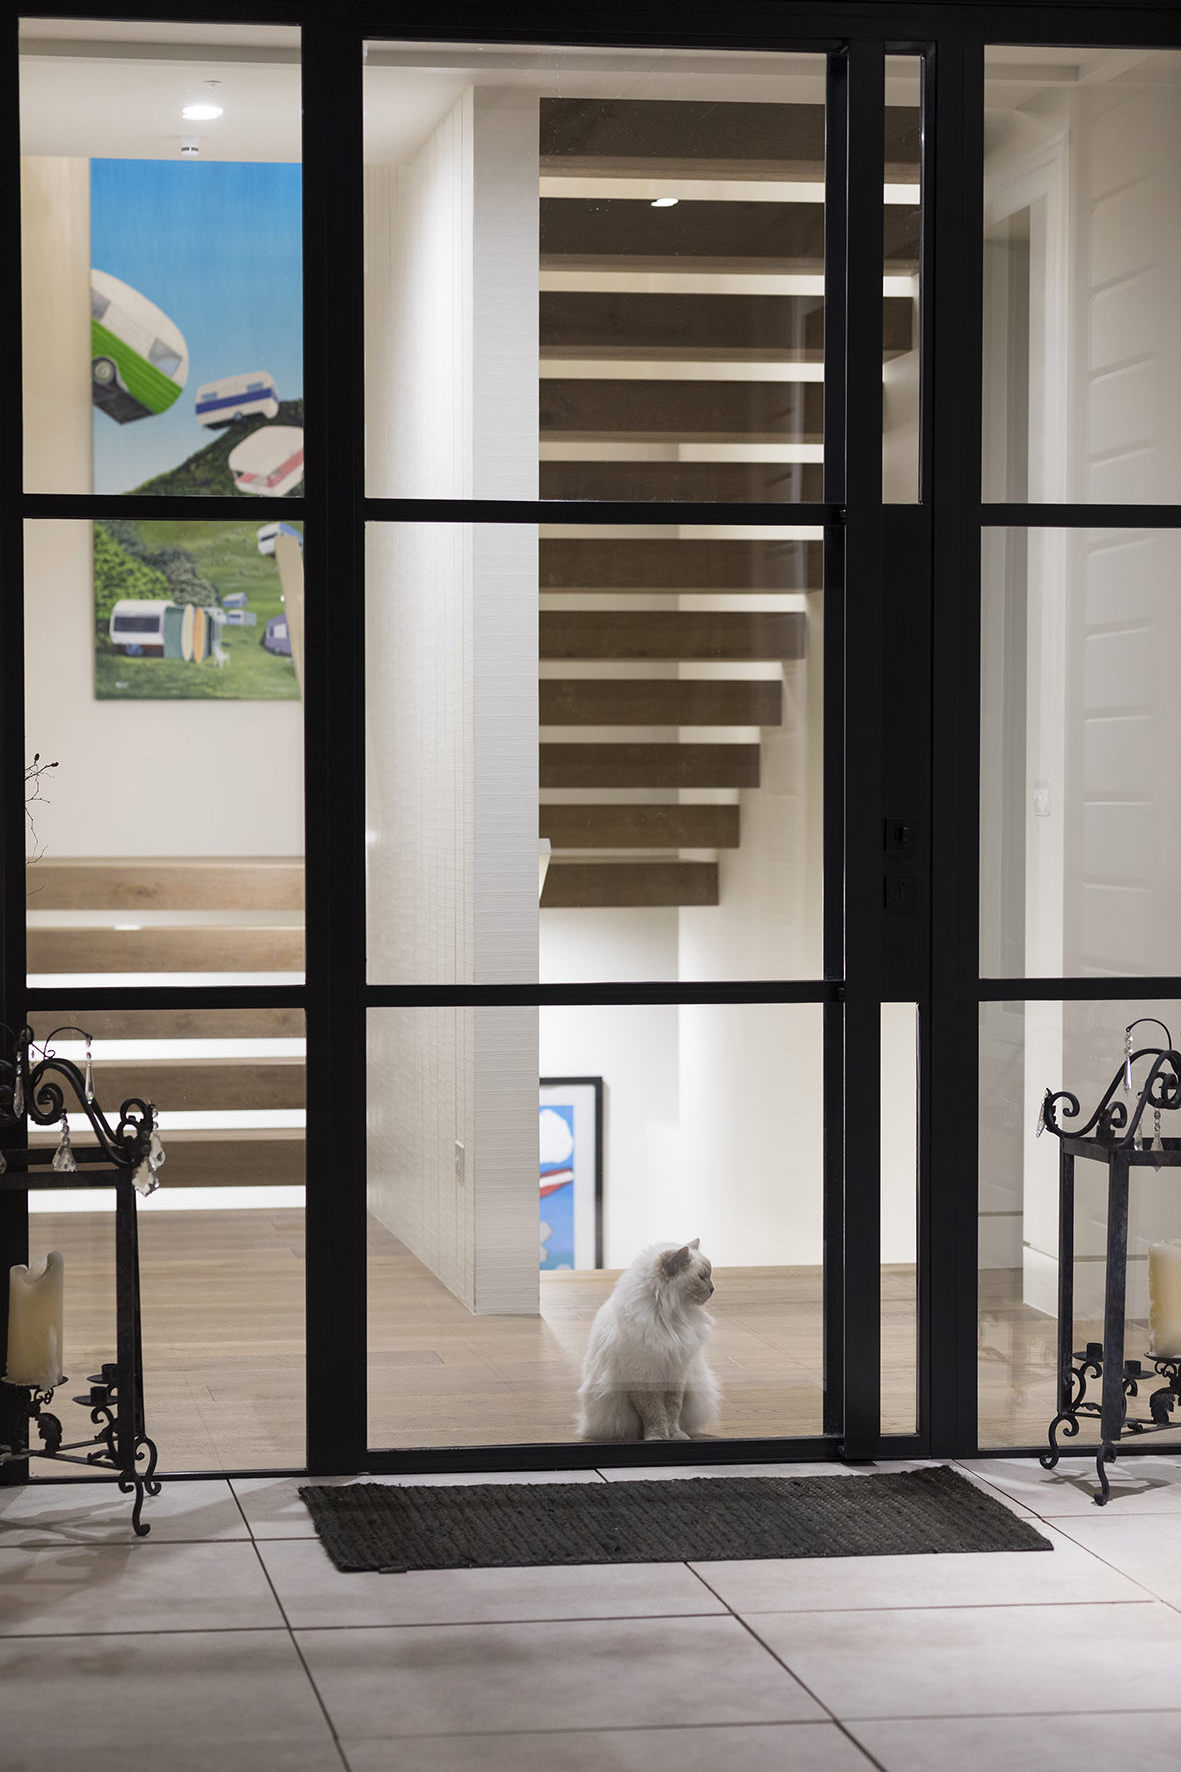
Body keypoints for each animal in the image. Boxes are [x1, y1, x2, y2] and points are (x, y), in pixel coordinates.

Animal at [577, 1238, 721, 1442]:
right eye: (701, 1277)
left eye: (709, 1275)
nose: (712, 1289)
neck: (669, 1316)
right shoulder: (642, 1376)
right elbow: (654, 1412)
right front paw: (657, 1436)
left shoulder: (676, 1375)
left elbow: (672, 1411)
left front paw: (675, 1435)